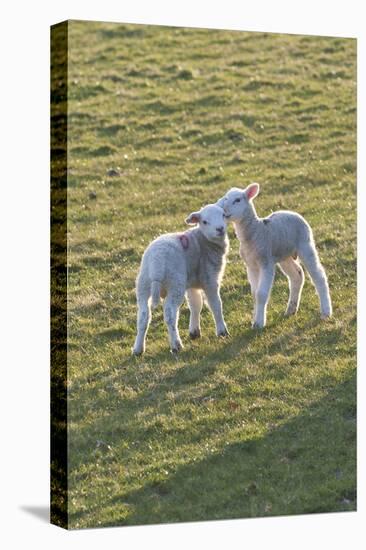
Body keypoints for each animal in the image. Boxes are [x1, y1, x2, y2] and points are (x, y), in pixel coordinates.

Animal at [132, 205, 229, 356]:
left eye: (224, 215)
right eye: (205, 222)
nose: (220, 229)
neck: (203, 240)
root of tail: (156, 263)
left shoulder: (193, 283)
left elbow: (196, 304)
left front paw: (194, 332)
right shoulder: (210, 278)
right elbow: (215, 304)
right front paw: (222, 331)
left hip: (143, 284)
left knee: (143, 316)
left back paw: (138, 349)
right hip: (175, 283)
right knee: (170, 314)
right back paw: (176, 345)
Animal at [216, 185, 334, 330]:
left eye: (237, 200)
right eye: (225, 198)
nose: (223, 211)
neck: (255, 232)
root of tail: (293, 212)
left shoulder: (266, 262)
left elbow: (261, 294)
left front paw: (259, 323)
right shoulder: (251, 265)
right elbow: (254, 293)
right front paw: (254, 319)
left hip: (305, 244)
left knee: (319, 276)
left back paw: (326, 311)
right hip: (284, 255)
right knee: (297, 275)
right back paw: (291, 309)